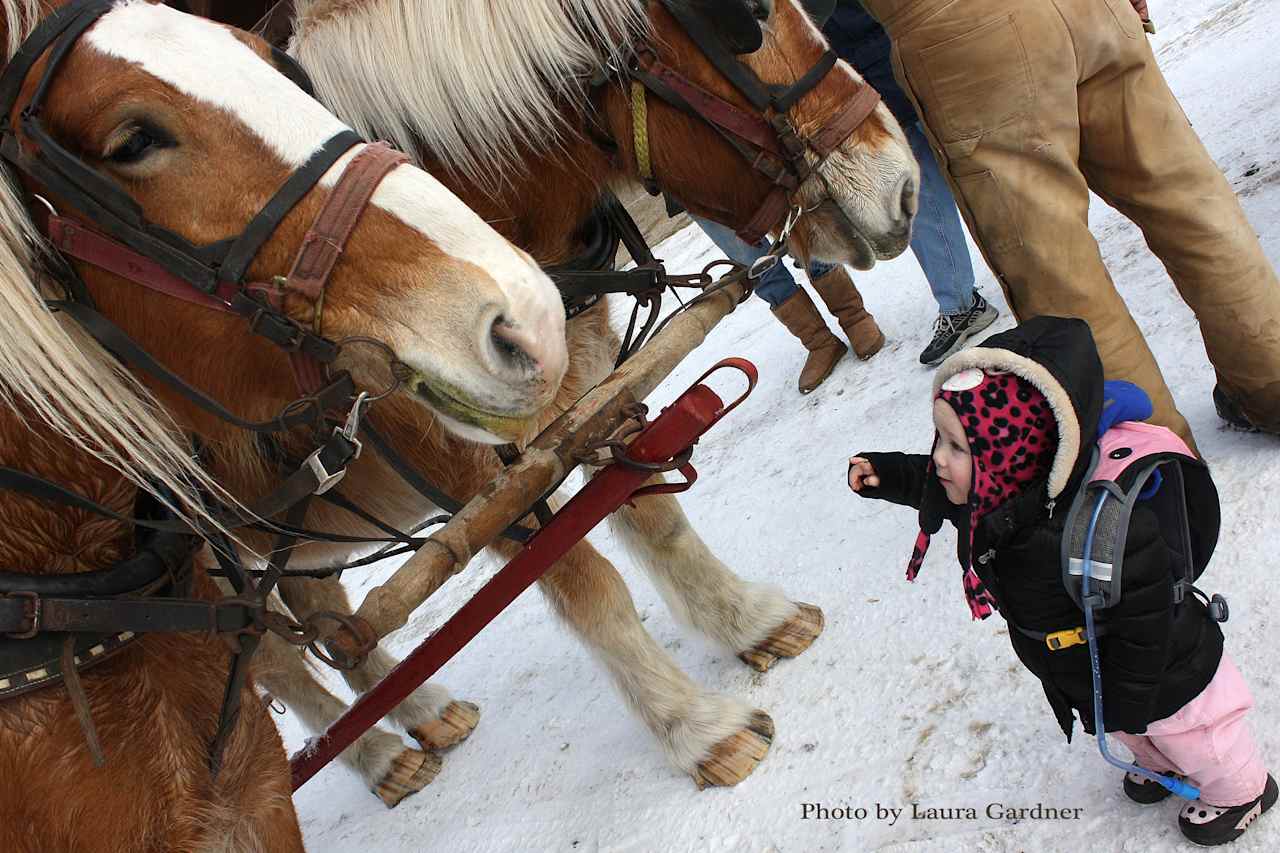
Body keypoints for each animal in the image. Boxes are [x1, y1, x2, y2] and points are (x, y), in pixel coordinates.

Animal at [240, 0, 921, 799]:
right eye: (747, 22)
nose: (905, 188)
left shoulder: (590, 402)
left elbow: (657, 519)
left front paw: (747, 620)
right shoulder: (477, 484)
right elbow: (589, 586)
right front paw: (697, 728)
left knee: (322, 616)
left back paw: (425, 715)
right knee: (272, 666)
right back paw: (378, 755)